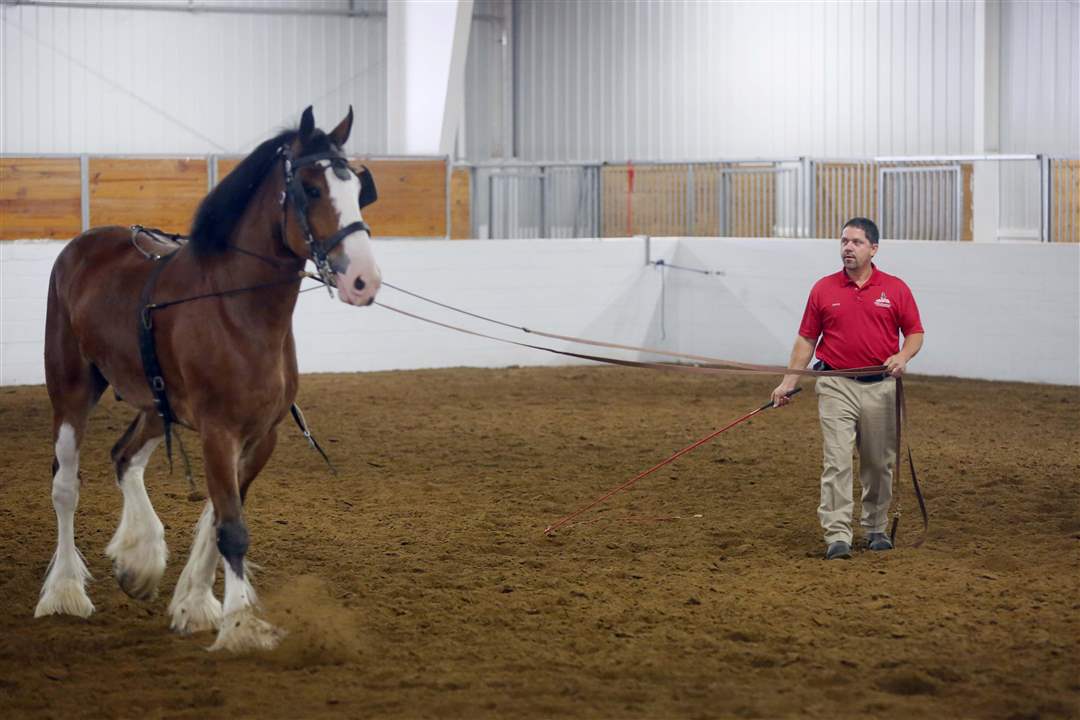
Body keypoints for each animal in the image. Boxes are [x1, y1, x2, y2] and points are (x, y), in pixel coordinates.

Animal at [35, 106, 382, 651]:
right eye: (309, 188)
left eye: (357, 187)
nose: (363, 280)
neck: (235, 308)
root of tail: (82, 246)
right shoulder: (219, 431)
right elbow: (231, 527)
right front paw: (241, 625)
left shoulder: (261, 436)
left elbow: (220, 514)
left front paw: (195, 605)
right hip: (70, 391)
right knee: (65, 485)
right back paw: (65, 591)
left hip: (157, 407)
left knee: (124, 457)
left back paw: (139, 558)